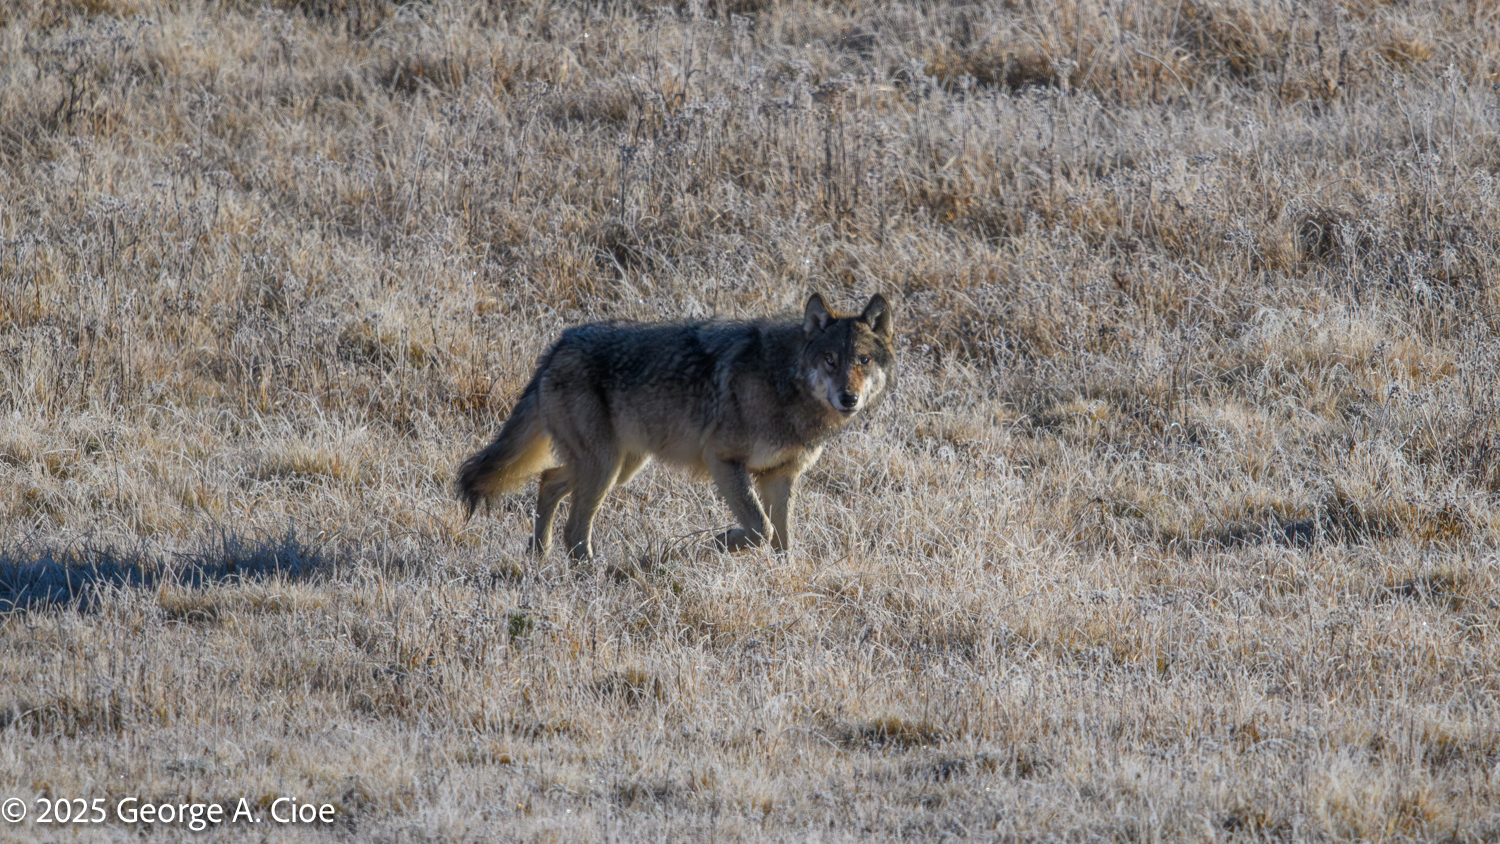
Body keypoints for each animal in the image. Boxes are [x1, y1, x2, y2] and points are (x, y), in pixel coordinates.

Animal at [455, 293, 896, 560]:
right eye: (830, 360)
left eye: (862, 361)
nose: (849, 399)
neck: (783, 382)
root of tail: (559, 344)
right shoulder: (723, 461)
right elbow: (761, 529)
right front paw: (722, 541)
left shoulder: (780, 477)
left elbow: (782, 539)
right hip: (605, 469)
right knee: (574, 528)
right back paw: (588, 570)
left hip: (618, 467)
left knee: (548, 481)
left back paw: (539, 553)